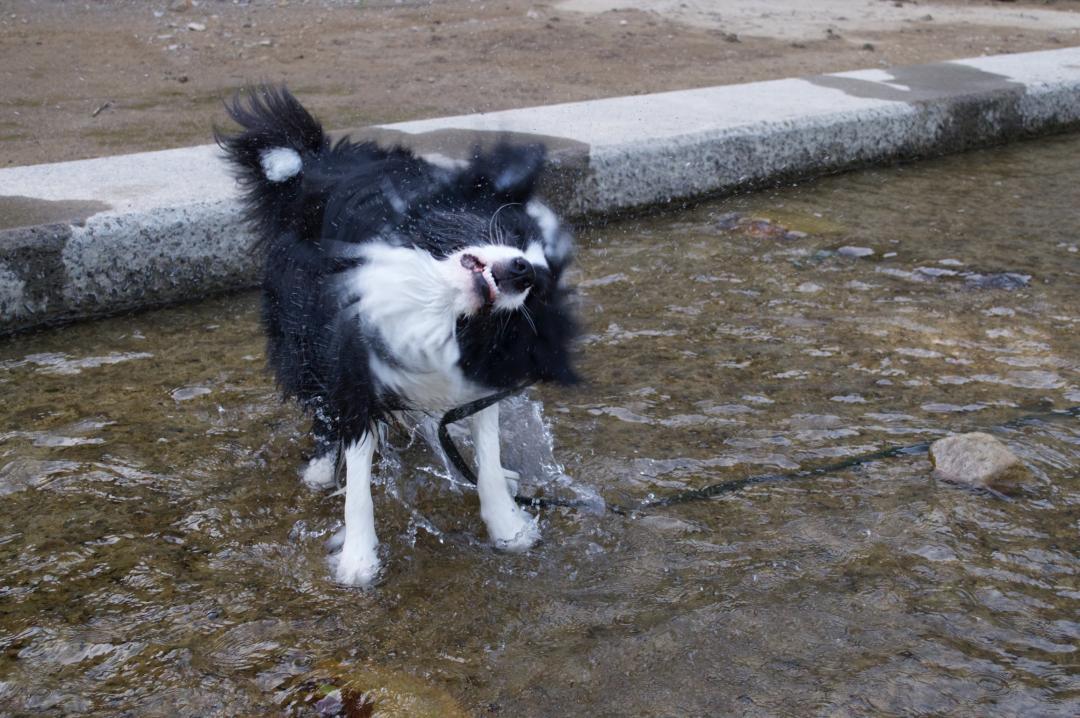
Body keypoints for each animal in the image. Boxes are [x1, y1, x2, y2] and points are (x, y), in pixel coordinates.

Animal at [213, 86, 578, 587]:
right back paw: (321, 469)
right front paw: (358, 561)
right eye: (510, 232)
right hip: (300, 327)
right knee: (318, 401)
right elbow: (358, 477)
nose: (522, 271)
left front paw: (509, 526)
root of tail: (317, 163)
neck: (436, 305)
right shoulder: (352, 364)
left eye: (539, 285)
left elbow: (486, 450)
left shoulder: (477, 374)